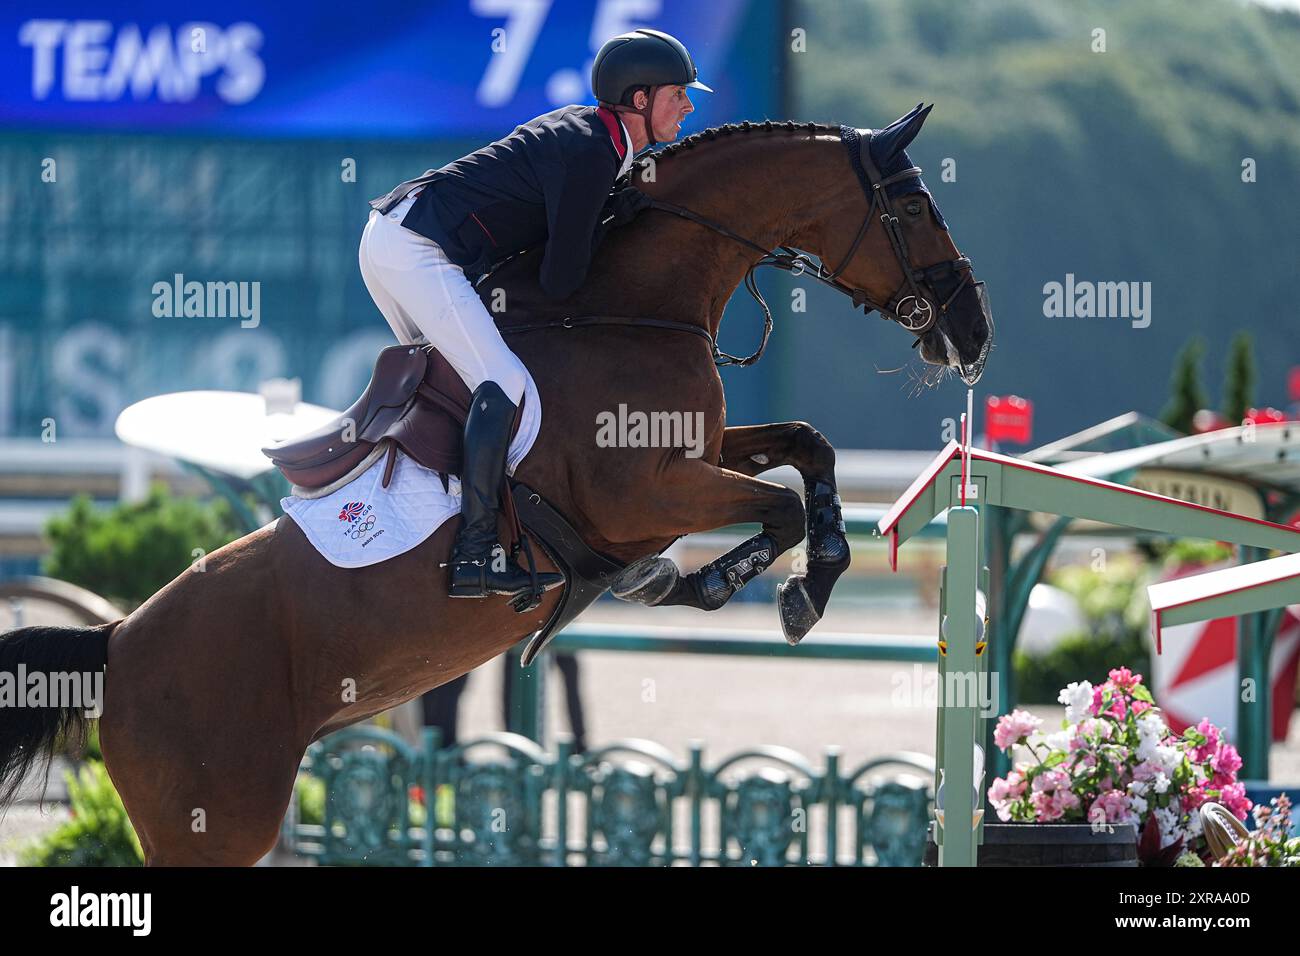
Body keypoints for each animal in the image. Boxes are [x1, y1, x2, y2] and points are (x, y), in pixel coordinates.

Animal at [2, 104, 993, 868]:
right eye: (914, 203)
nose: (973, 330)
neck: (628, 307)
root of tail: (118, 641)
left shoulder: (694, 456)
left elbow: (808, 450)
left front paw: (791, 578)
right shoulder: (645, 492)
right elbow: (778, 504)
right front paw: (743, 585)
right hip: (213, 823)